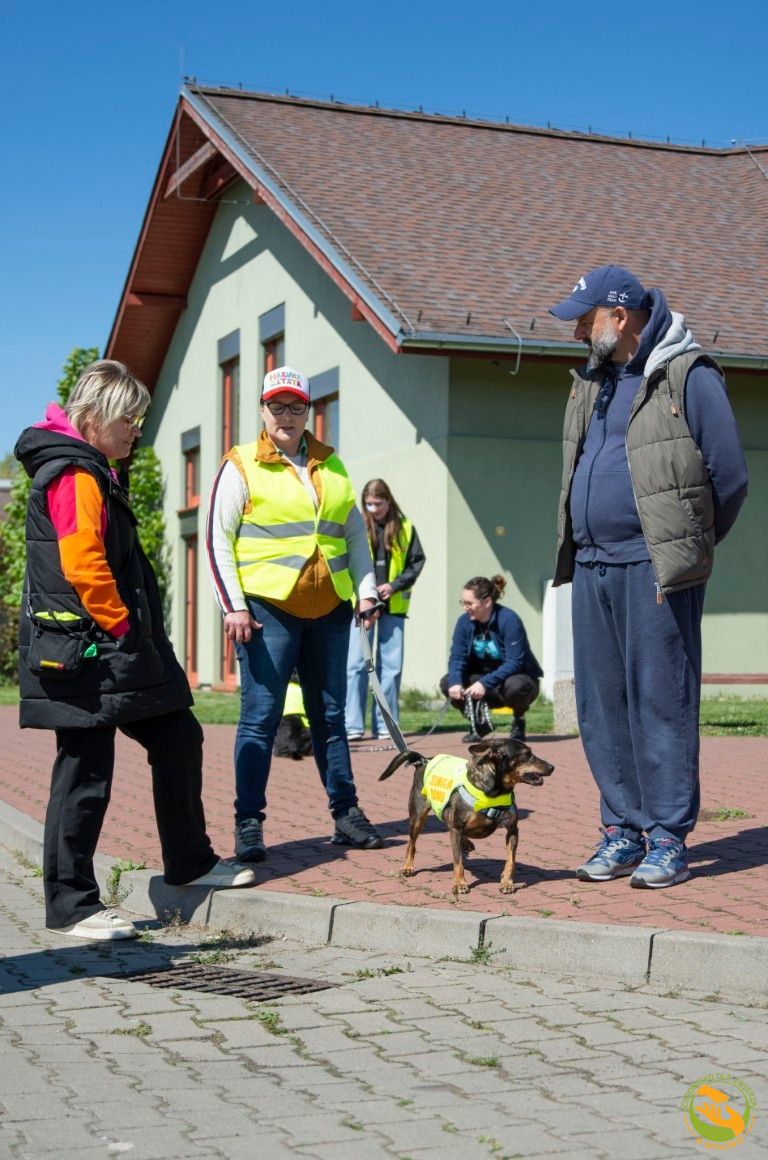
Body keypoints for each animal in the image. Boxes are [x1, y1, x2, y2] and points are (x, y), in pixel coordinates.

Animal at [379, 737, 553, 895]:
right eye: (526, 754)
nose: (552, 767)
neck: (494, 792)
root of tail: (424, 760)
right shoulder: (456, 826)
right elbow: (458, 861)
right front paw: (460, 884)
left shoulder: (512, 829)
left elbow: (511, 860)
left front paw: (506, 883)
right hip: (417, 817)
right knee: (412, 844)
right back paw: (408, 867)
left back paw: (466, 842)